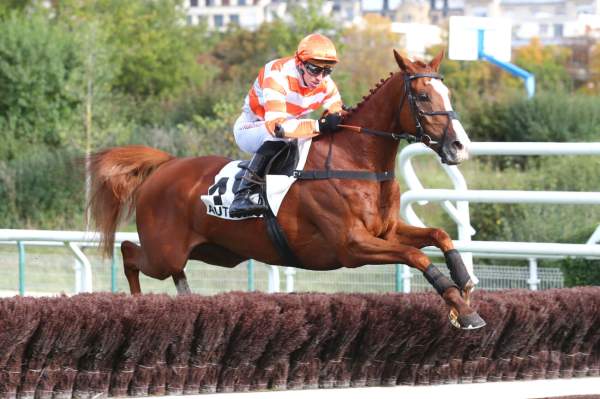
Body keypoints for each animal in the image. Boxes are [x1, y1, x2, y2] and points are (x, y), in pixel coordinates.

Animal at [86, 50, 486, 332]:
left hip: (214, 251)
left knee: (164, 266)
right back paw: (138, 306)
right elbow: (416, 257)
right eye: (423, 97)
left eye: (447, 92)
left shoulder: (385, 232)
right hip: (164, 252)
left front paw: (465, 283)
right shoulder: (352, 245)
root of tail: (166, 165)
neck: (356, 161)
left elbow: (438, 235)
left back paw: (184, 297)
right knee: (129, 253)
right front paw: (462, 309)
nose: (459, 146)